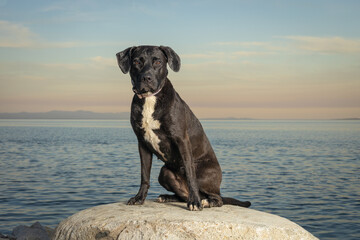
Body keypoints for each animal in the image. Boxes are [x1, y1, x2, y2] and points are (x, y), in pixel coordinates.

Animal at [116, 45, 250, 210]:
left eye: (158, 62)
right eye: (136, 62)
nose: (146, 78)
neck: (150, 99)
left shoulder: (181, 140)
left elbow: (190, 173)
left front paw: (194, 202)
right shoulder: (142, 143)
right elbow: (144, 175)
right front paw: (139, 198)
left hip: (204, 176)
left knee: (217, 198)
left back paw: (206, 201)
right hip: (164, 173)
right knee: (182, 195)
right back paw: (168, 197)